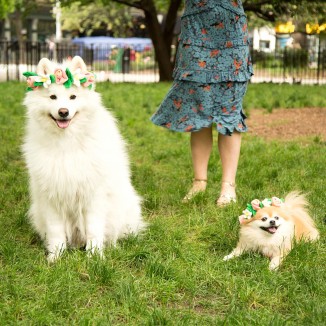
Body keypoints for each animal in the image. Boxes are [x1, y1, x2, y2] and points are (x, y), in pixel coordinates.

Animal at [22, 54, 146, 262]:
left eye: (73, 97)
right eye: (52, 97)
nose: (63, 111)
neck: (67, 143)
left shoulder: (93, 195)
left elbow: (94, 229)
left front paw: (95, 257)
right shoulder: (51, 196)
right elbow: (56, 232)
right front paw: (55, 258)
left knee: (116, 233)